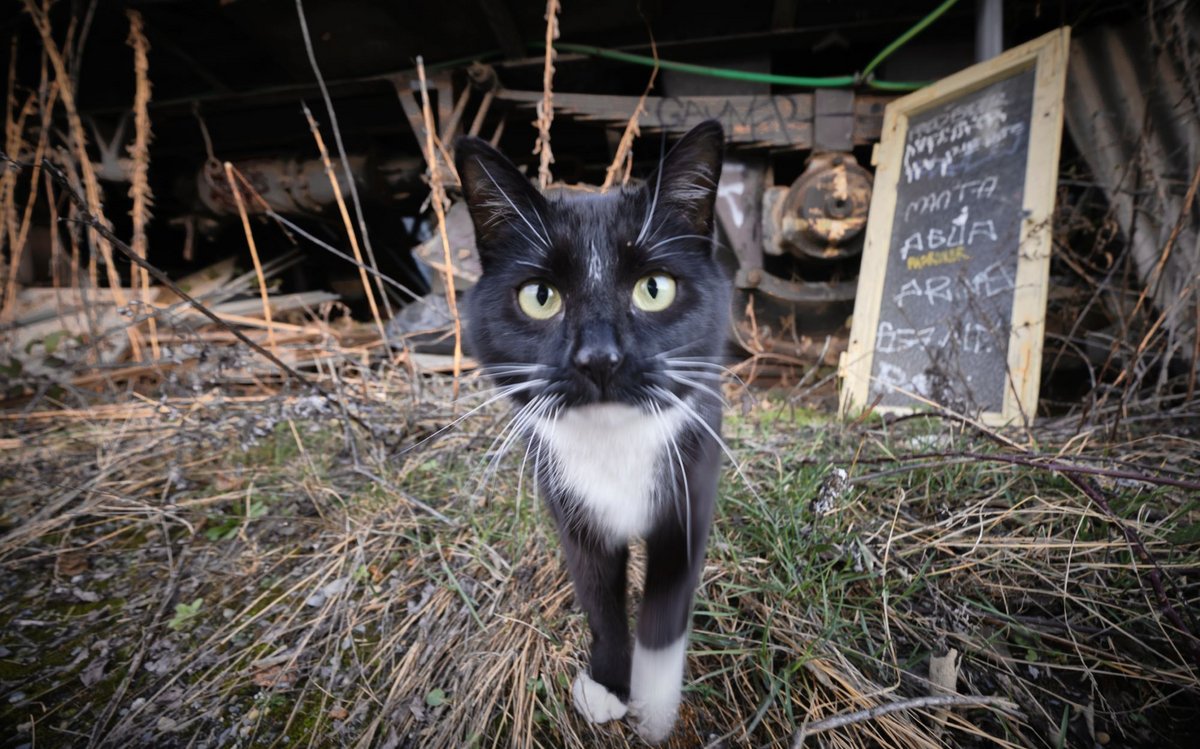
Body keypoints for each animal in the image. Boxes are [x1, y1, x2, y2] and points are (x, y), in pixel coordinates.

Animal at [451, 123, 724, 744]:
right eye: (540, 296)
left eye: (654, 289)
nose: (599, 357)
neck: (614, 445)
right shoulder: (571, 505)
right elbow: (598, 595)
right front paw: (607, 686)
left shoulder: (691, 482)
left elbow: (666, 605)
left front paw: (654, 710)